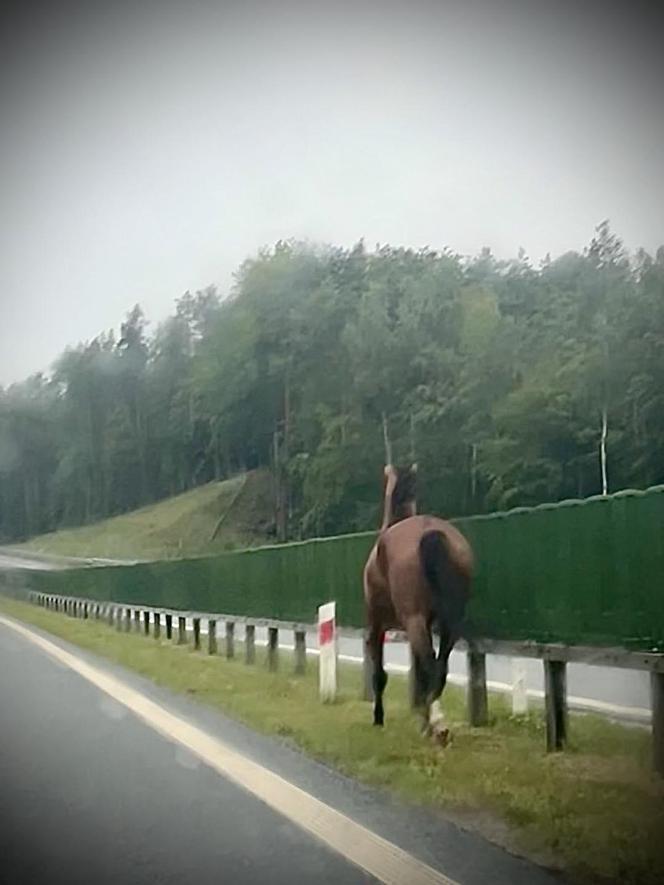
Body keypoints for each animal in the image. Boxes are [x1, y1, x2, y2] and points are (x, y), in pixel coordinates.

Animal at [364, 460, 472, 744]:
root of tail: (431, 533)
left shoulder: (376, 624)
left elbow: (379, 674)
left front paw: (378, 718)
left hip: (413, 620)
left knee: (431, 664)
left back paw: (437, 724)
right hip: (451, 622)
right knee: (439, 666)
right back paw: (434, 722)